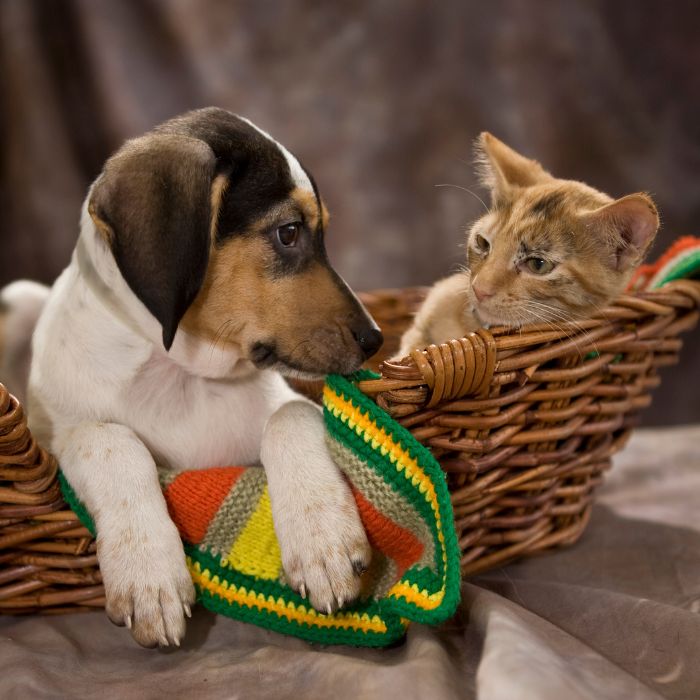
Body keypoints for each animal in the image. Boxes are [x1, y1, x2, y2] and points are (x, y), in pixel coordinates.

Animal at [12, 106, 382, 648]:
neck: (182, 375)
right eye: (289, 232)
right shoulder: (56, 438)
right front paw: (148, 574)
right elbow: (110, 440)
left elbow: (292, 415)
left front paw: (322, 540)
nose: (374, 339)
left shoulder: (285, 403)